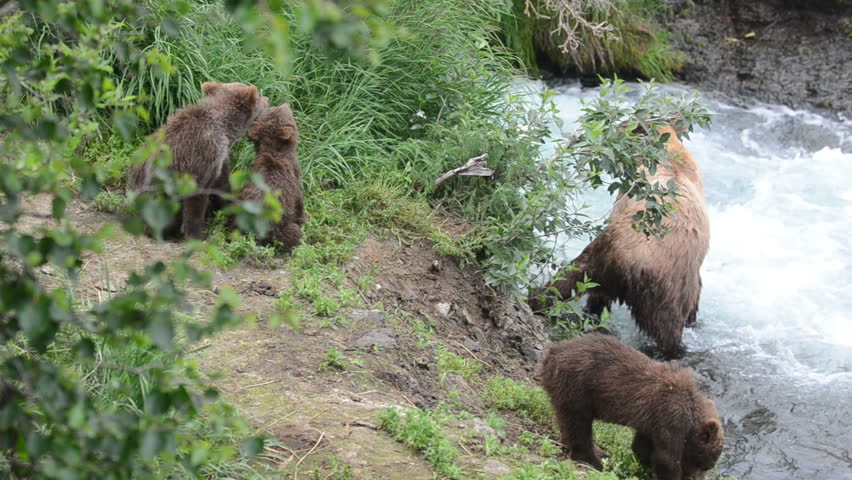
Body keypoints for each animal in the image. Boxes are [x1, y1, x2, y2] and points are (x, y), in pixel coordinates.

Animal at [127, 81, 270, 239]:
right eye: (259, 96)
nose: (268, 99)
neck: (224, 128)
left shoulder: (220, 158)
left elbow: (222, 186)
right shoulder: (201, 154)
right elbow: (196, 199)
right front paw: (196, 234)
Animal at [238, 103, 305, 250]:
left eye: (273, 108)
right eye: (286, 112)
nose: (286, 103)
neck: (274, 151)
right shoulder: (295, 178)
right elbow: (299, 201)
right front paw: (303, 218)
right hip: (280, 226)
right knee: (292, 233)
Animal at [540, 333, 724, 480]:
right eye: (707, 464)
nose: (697, 478)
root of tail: (552, 352)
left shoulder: (653, 423)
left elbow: (642, 446)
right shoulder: (672, 418)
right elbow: (667, 459)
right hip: (577, 387)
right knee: (578, 424)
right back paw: (594, 459)